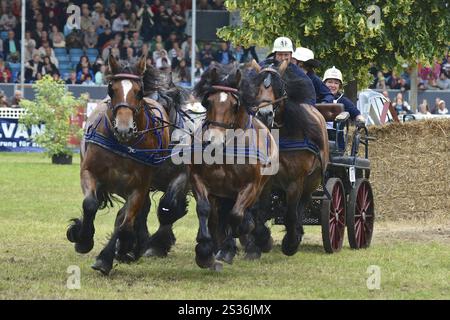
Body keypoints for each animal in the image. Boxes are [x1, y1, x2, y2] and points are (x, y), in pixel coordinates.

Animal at [66, 53, 171, 274]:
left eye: (139, 92)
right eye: (111, 89)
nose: (124, 129)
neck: (122, 146)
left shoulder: (139, 188)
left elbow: (124, 223)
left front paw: (106, 258)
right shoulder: (89, 172)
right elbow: (90, 204)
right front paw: (83, 239)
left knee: (129, 216)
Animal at [190, 63, 278, 270]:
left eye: (234, 105)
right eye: (208, 102)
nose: (213, 141)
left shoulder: (251, 186)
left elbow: (237, 216)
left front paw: (245, 232)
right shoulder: (199, 180)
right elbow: (204, 209)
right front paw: (204, 251)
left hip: (261, 187)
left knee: (250, 212)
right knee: (218, 217)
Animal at [248, 58, 328, 256]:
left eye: (280, 87)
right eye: (256, 87)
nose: (265, 114)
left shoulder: (295, 181)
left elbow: (291, 215)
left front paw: (290, 243)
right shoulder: (265, 181)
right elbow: (260, 211)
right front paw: (263, 238)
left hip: (311, 182)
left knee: (301, 206)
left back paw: (296, 234)